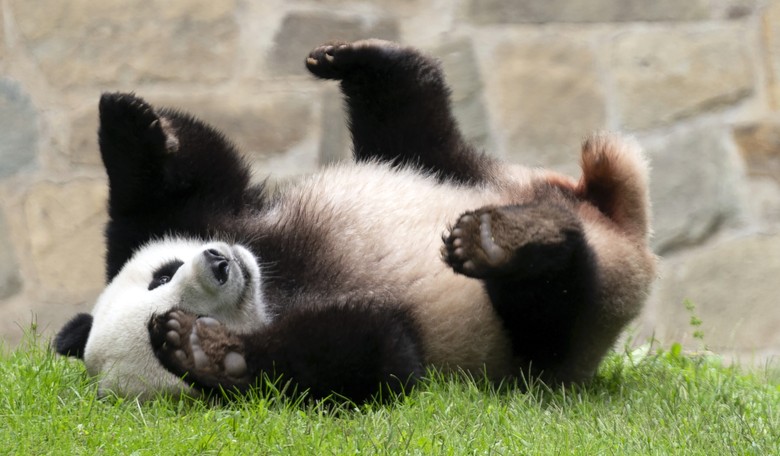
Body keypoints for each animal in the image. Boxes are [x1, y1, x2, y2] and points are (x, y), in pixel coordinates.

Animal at [54, 39, 656, 403]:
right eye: (175, 299)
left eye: (162, 274)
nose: (220, 264)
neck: (275, 283)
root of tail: (620, 226)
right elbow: (378, 357)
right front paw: (206, 351)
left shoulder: (224, 218)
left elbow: (183, 185)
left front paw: (127, 121)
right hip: (555, 337)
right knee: (552, 304)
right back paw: (508, 243)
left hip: (468, 172)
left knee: (415, 128)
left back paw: (363, 62)